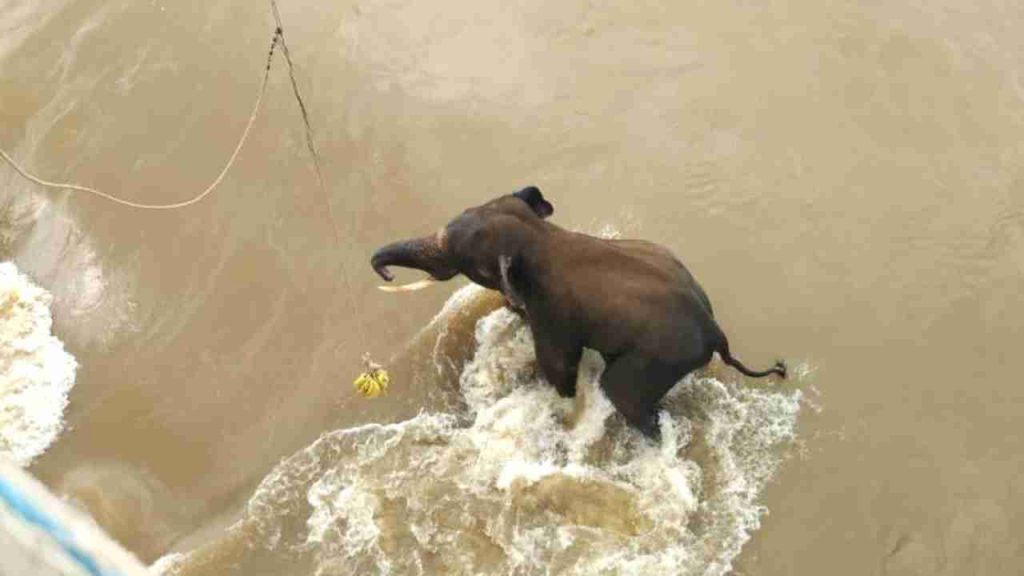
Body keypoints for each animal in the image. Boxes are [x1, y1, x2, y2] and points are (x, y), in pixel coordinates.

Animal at [371, 186, 786, 438]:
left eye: (461, 258)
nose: (387, 274)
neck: (543, 235)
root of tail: (717, 332)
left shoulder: (553, 313)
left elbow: (558, 368)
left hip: (656, 359)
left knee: (621, 393)